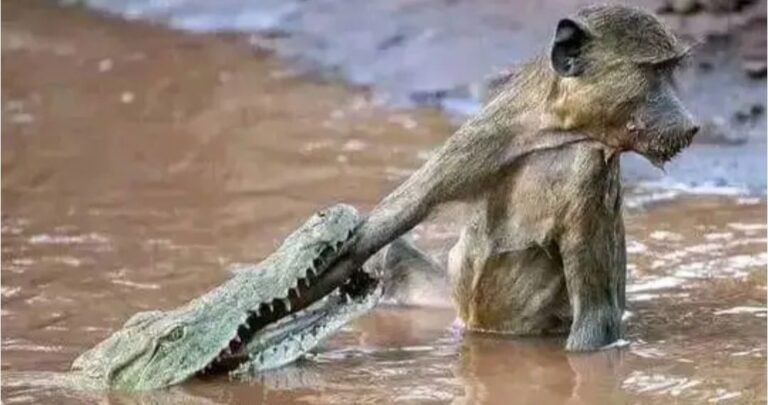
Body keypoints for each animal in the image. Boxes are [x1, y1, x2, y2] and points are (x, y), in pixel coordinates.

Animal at [317, 5, 698, 351]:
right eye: (655, 72)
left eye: (668, 71)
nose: (691, 125)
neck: (556, 134)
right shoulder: (484, 137)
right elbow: (369, 238)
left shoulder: (590, 171)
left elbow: (596, 318)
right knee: (392, 256)